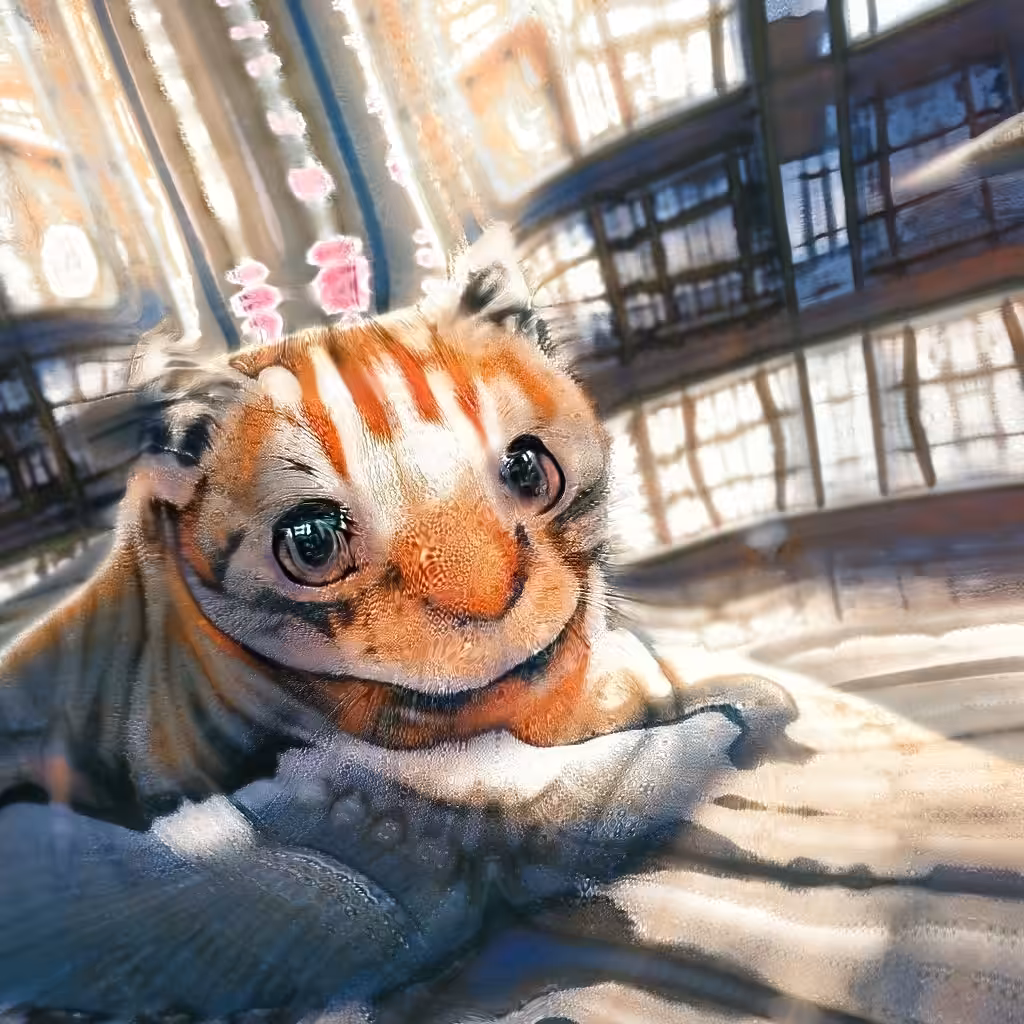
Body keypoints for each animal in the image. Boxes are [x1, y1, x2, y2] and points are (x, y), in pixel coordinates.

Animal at [0, 225, 798, 1020]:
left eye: (529, 470)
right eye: (311, 541)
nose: (488, 600)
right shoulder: (458, 831)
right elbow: (602, 787)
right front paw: (731, 715)